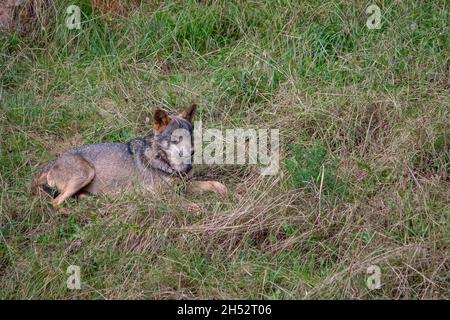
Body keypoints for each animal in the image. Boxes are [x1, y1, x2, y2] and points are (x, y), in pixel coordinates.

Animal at [32, 104, 227, 206]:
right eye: (176, 138)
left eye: (190, 135)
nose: (192, 152)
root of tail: (51, 165)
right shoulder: (160, 196)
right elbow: (187, 204)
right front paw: (197, 209)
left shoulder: (184, 184)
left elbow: (211, 183)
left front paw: (223, 190)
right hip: (86, 172)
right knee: (56, 203)